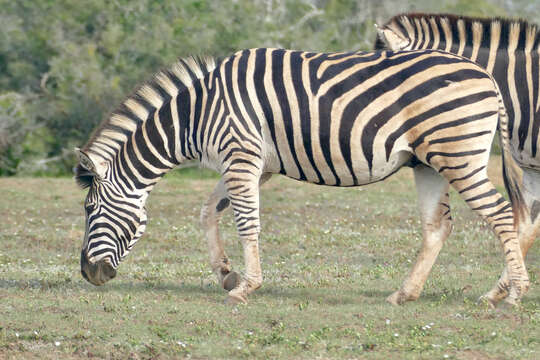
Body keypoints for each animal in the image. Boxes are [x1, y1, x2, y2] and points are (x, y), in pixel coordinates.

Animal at [74, 47, 528, 306]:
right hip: (429, 163)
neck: (196, 114)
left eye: (90, 209)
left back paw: (510, 293)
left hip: (458, 155)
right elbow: (207, 211)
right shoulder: (254, 164)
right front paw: (225, 273)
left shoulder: (241, 156)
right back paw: (406, 293)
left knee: (503, 215)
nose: (87, 275)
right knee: (438, 227)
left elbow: (247, 223)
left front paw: (245, 287)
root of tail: (487, 75)